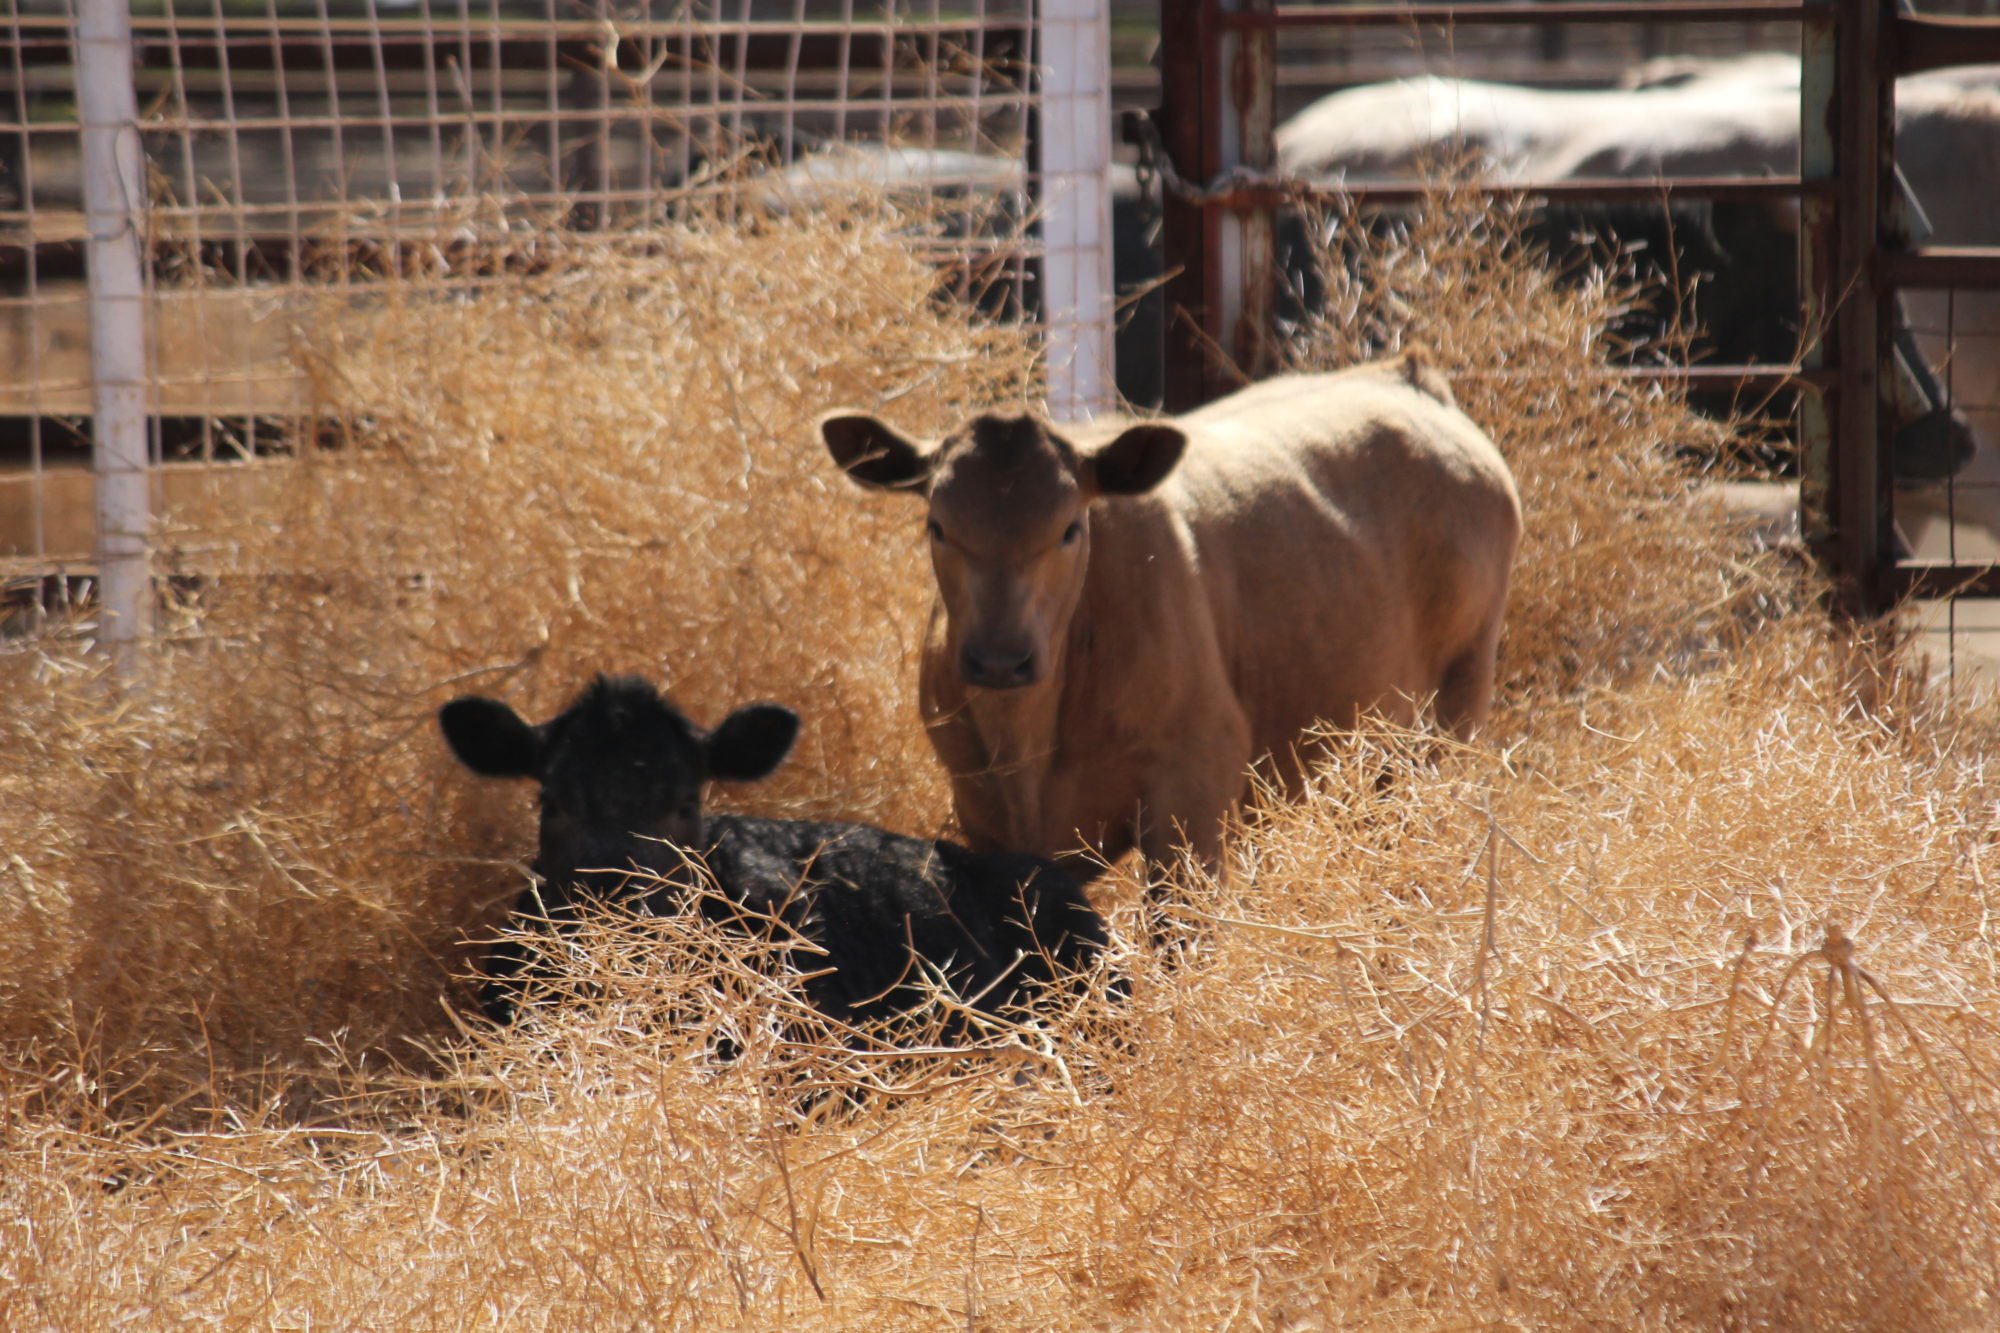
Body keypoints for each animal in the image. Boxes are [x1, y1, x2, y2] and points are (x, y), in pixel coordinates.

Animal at [819, 355, 1522, 911]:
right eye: (938, 525)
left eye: (1070, 528)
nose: (999, 659)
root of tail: (1405, 376)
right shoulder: (979, 810)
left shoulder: (1193, 786)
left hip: (1453, 710)